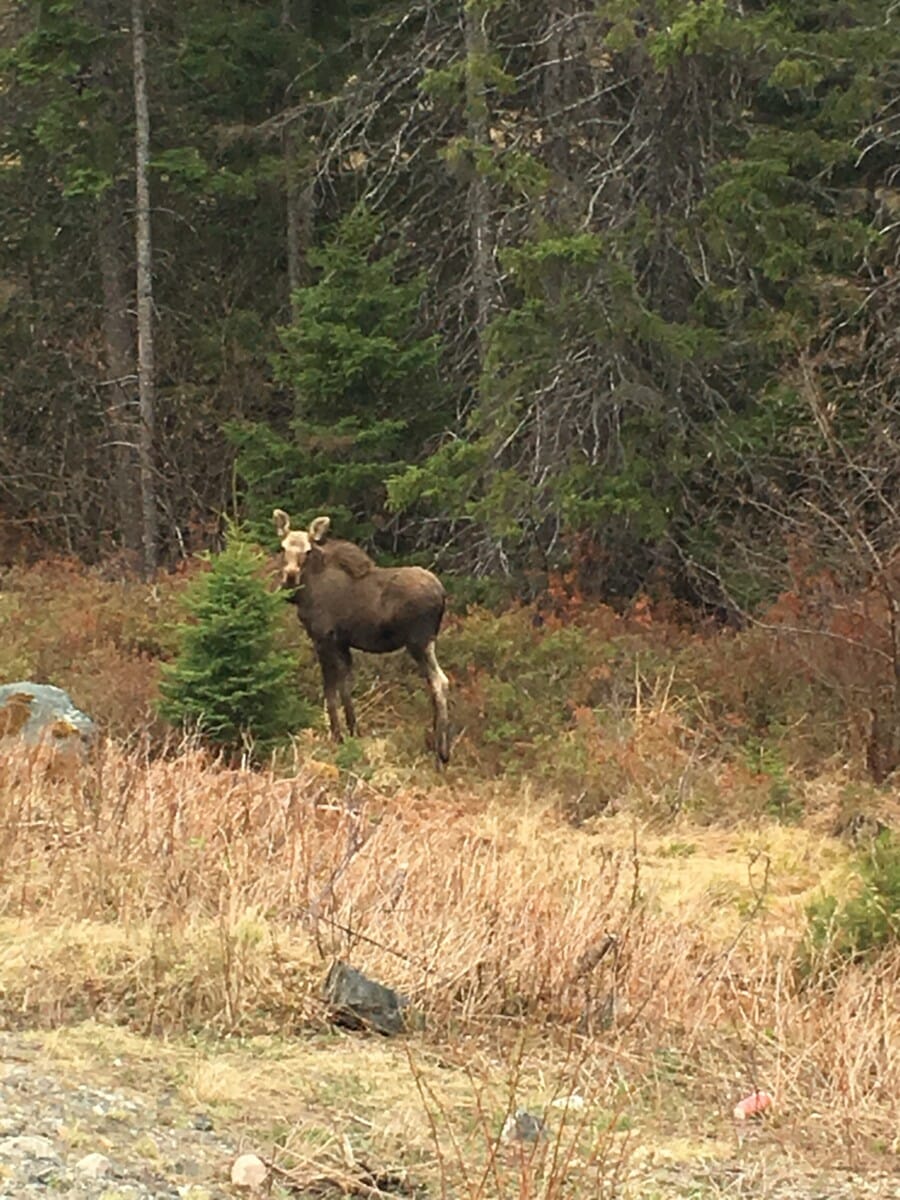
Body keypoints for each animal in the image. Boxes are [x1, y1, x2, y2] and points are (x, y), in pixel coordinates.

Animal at [270, 511, 448, 763]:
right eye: (283, 547)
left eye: (308, 550)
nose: (290, 577)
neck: (306, 592)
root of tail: (443, 595)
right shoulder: (343, 642)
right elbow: (346, 687)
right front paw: (353, 732)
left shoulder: (323, 637)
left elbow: (329, 691)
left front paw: (337, 736)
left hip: (419, 641)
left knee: (439, 682)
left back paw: (441, 752)